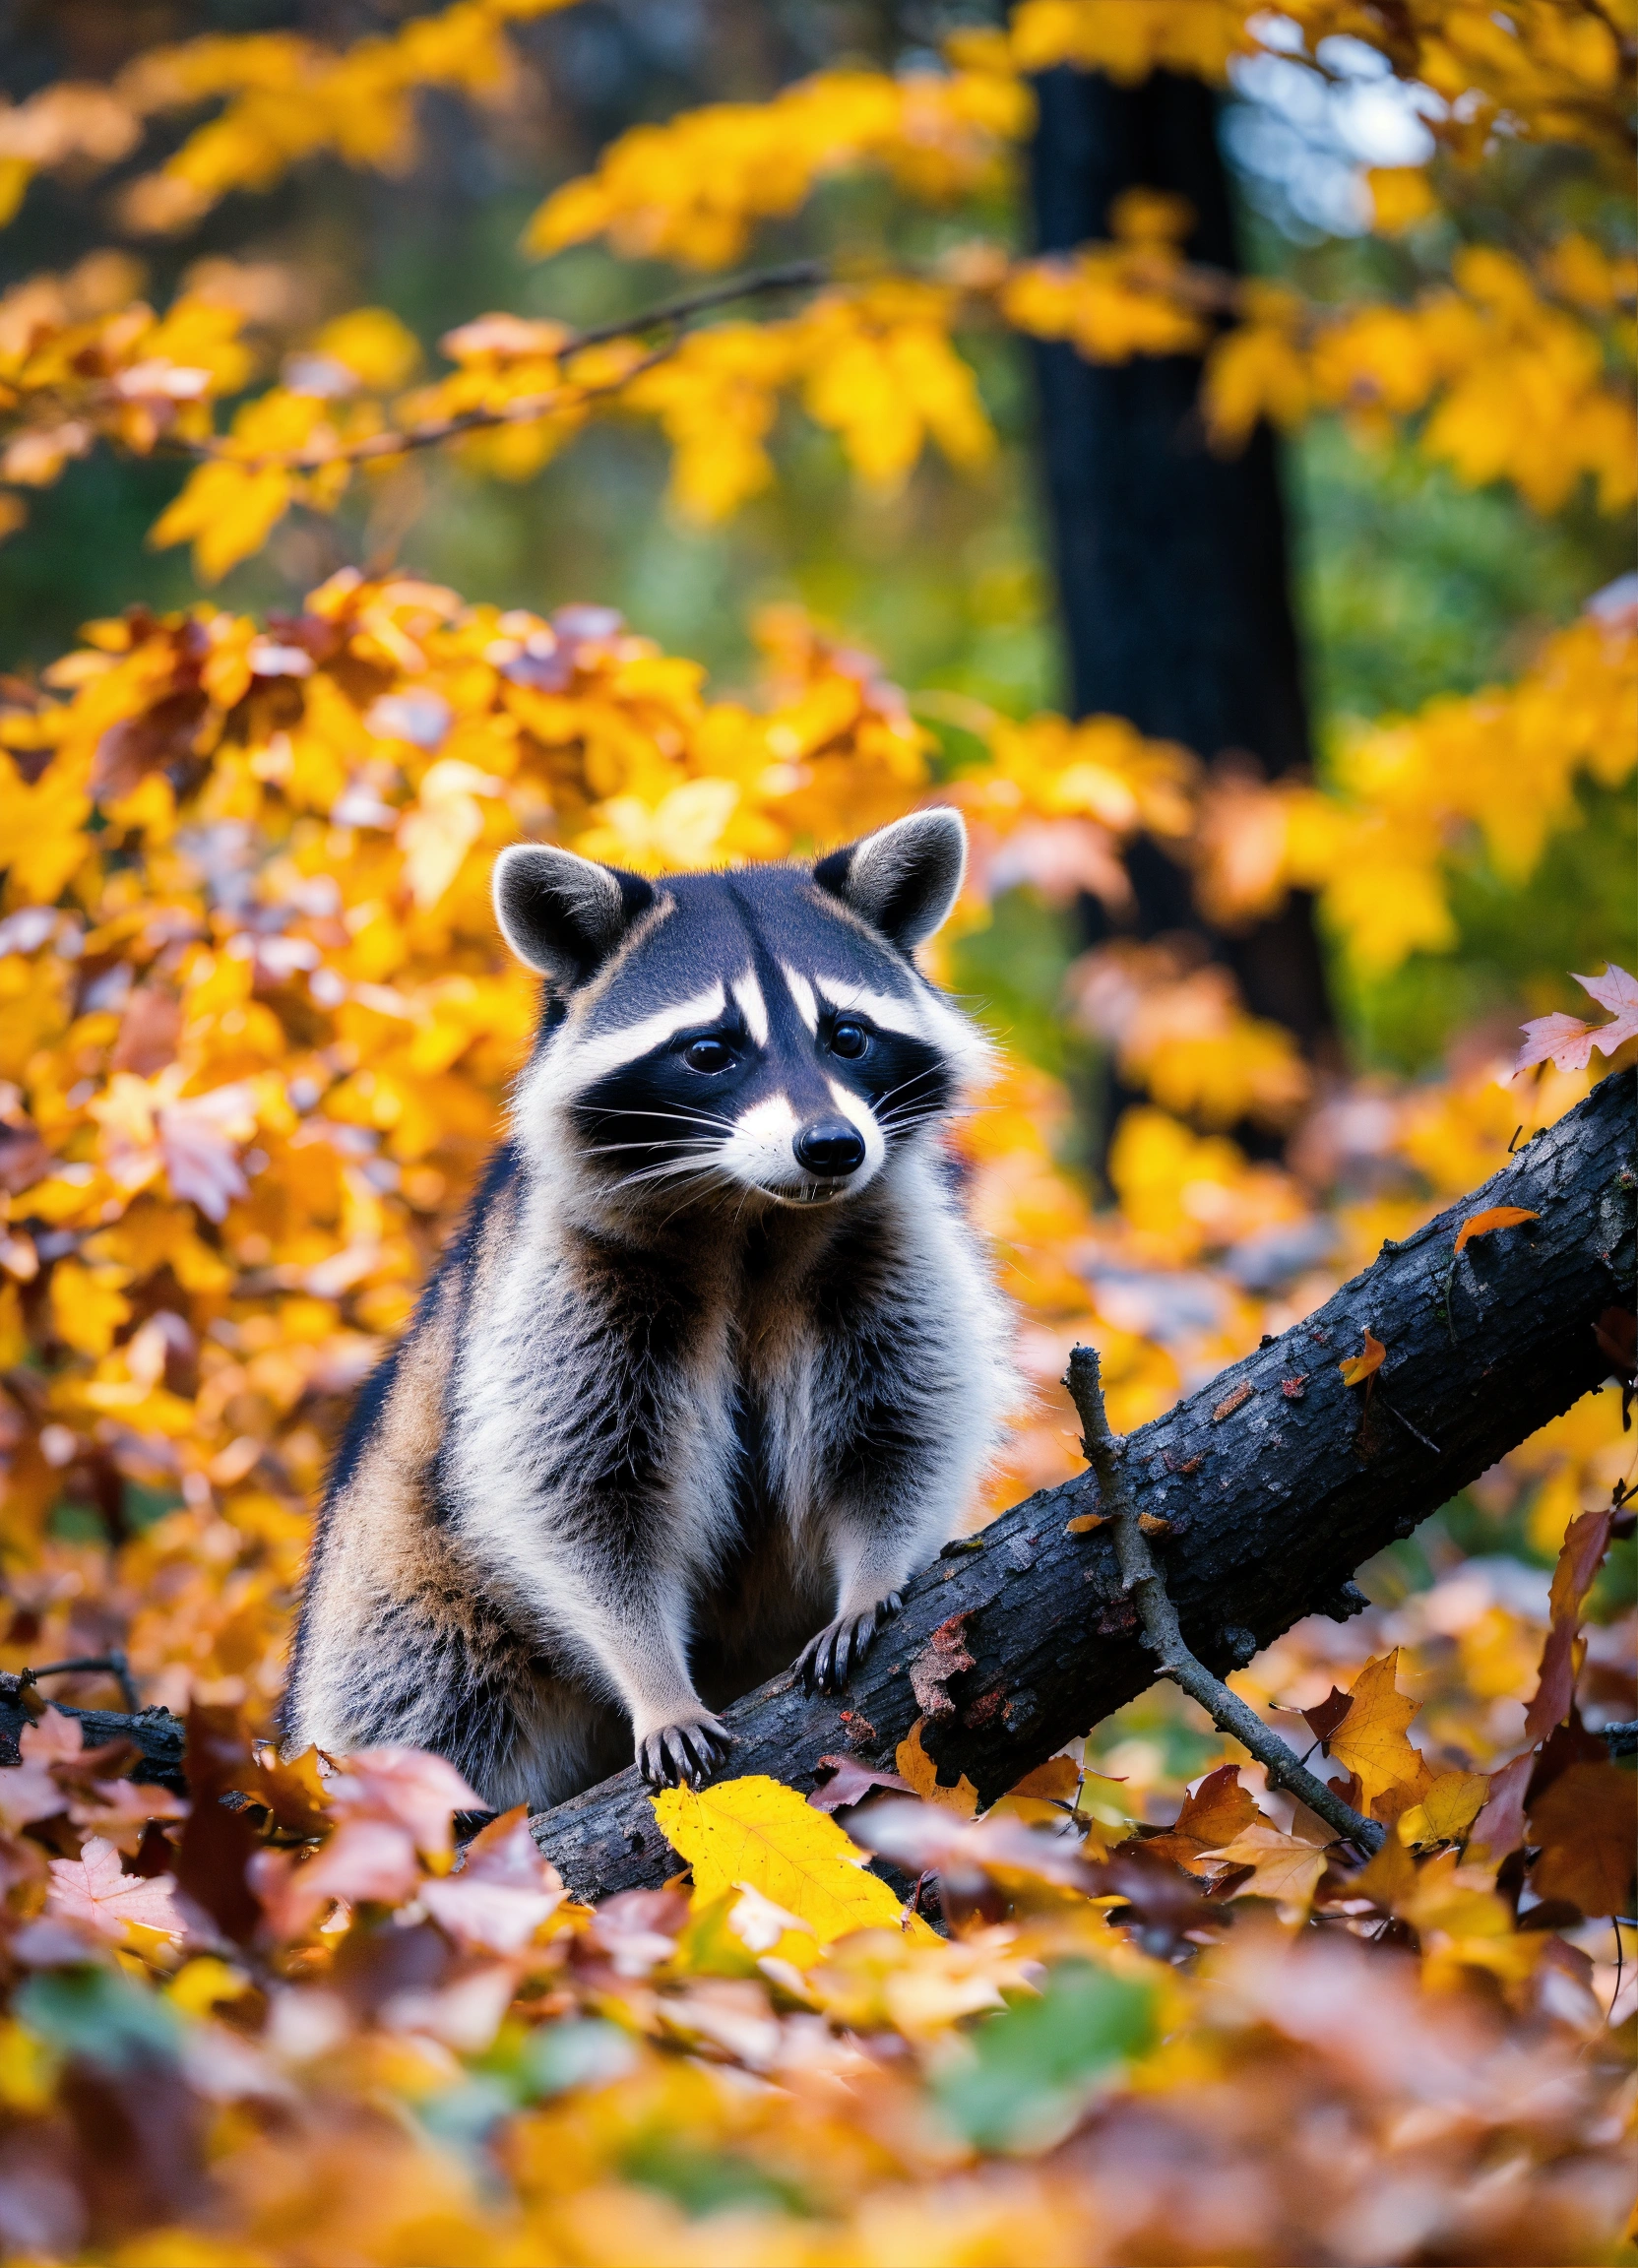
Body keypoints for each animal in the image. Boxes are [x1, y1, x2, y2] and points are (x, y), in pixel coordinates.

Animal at [283, 808, 1016, 1811]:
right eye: (710, 1051)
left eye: (848, 1036)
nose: (831, 1146)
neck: (751, 1213)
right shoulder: (568, 1283)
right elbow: (581, 1500)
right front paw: (653, 1679)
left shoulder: (883, 1242)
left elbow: (899, 1429)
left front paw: (874, 1574)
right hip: (392, 1598)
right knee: (427, 1692)